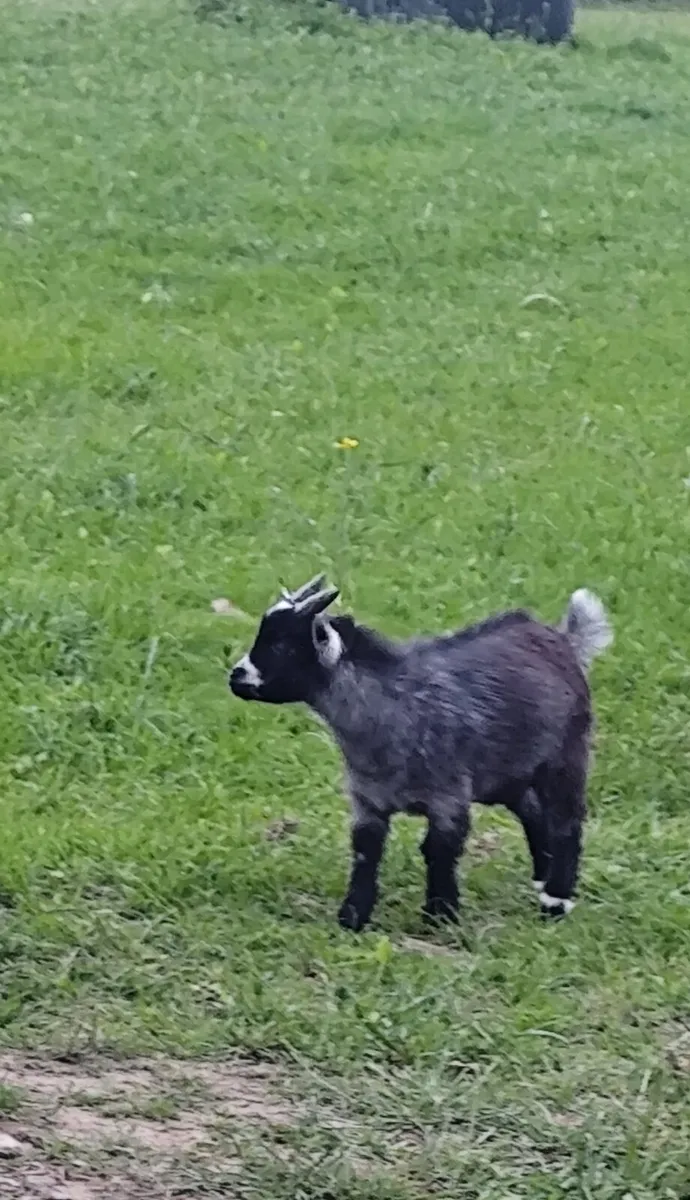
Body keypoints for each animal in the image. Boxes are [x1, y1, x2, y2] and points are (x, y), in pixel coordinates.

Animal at [229, 576, 612, 930]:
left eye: (281, 646)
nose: (236, 677)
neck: (391, 710)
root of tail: (562, 640)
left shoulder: (448, 800)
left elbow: (439, 851)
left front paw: (441, 915)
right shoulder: (369, 803)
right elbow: (366, 852)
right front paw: (353, 917)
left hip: (565, 756)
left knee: (566, 821)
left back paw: (555, 900)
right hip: (505, 772)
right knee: (531, 810)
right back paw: (541, 879)